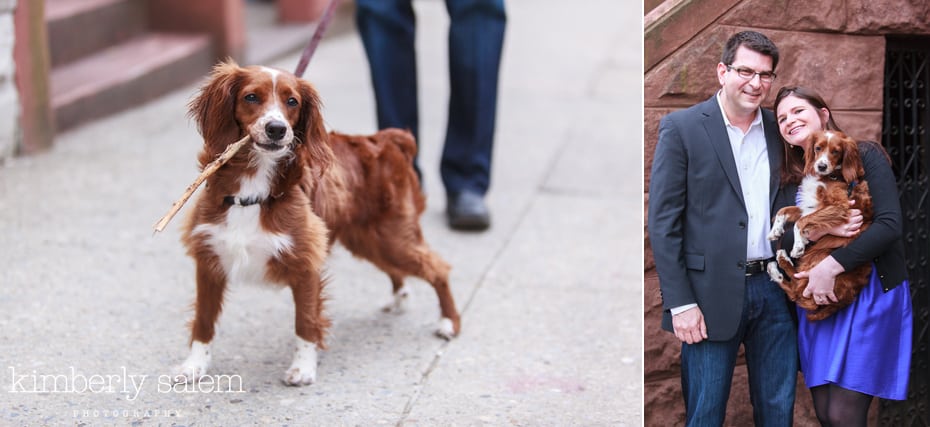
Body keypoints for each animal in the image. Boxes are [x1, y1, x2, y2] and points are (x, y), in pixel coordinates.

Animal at [175, 61, 460, 388]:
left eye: (292, 101)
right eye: (251, 97)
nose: (277, 129)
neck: (253, 186)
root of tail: (386, 139)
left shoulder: (305, 263)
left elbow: (306, 321)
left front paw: (303, 369)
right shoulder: (208, 260)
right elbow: (204, 320)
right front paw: (194, 366)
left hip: (391, 238)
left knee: (437, 268)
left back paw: (449, 322)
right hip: (369, 240)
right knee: (400, 269)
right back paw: (400, 298)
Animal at [760, 130, 872, 320]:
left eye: (836, 151)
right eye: (818, 148)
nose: (821, 166)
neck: (830, 176)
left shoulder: (839, 206)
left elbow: (800, 222)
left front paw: (798, 245)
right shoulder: (810, 206)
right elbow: (784, 210)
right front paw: (776, 231)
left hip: (819, 258)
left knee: (798, 292)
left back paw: (780, 262)